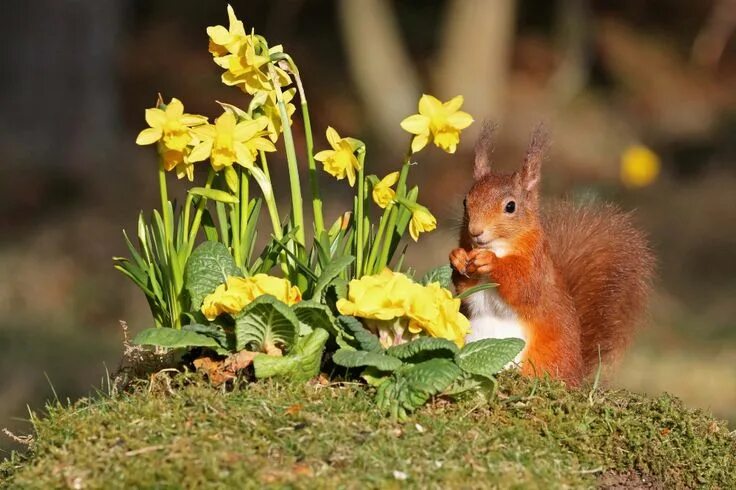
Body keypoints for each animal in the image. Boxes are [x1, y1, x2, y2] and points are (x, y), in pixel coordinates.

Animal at [452, 124, 652, 384]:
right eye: (465, 202)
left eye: (510, 206)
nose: (475, 231)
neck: (499, 247)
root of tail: (578, 376)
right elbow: (464, 289)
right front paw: (457, 257)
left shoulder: (537, 266)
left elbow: (524, 287)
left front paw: (491, 262)